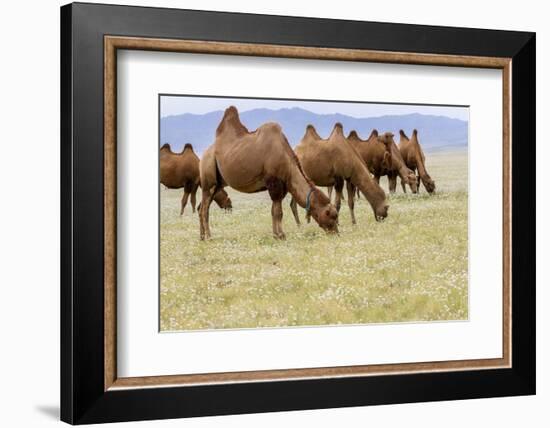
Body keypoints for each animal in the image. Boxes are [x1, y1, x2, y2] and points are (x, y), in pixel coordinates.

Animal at [202, 106, 340, 241]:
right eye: (331, 216)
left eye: (335, 217)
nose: (336, 233)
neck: (287, 163)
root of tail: (205, 153)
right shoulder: (274, 184)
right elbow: (278, 212)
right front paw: (281, 236)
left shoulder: (282, 186)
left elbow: (274, 211)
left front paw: (276, 235)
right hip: (208, 179)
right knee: (204, 209)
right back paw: (208, 237)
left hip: (218, 184)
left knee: (201, 207)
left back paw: (202, 236)